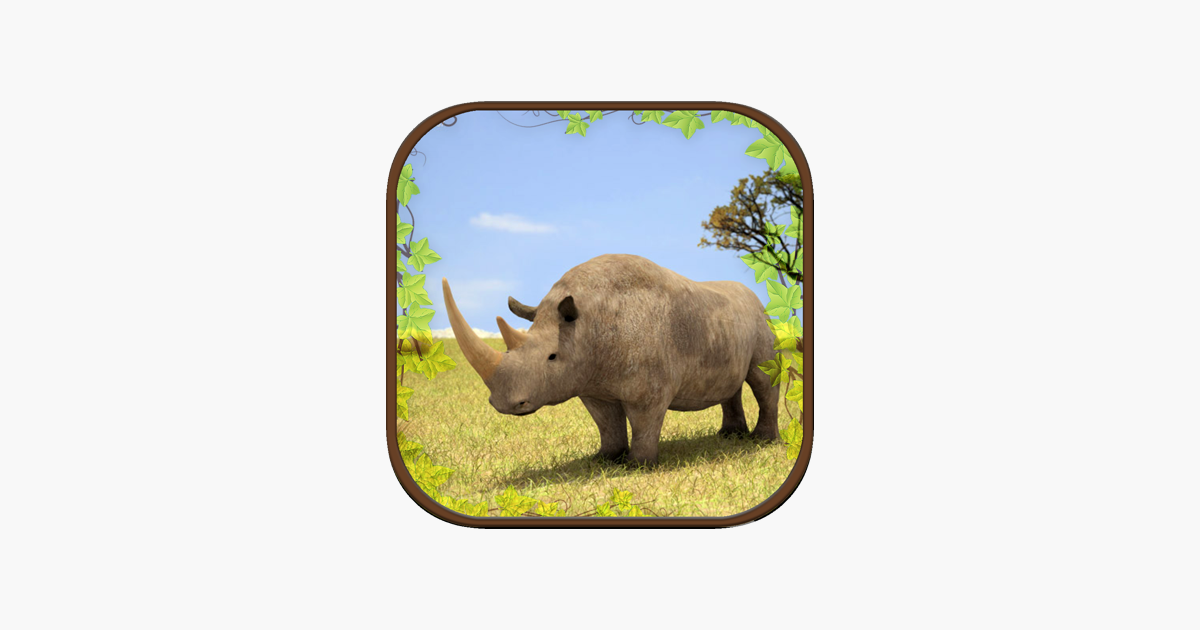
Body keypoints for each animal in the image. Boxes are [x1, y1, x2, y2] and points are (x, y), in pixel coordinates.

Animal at [442, 254, 779, 466]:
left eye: (552, 356)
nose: (504, 404)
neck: (588, 322)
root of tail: (754, 297)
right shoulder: (590, 382)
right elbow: (606, 422)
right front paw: (605, 459)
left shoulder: (649, 389)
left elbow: (644, 421)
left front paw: (640, 466)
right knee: (732, 383)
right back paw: (729, 437)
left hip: (760, 318)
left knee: (762, 379)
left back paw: (763, 442)